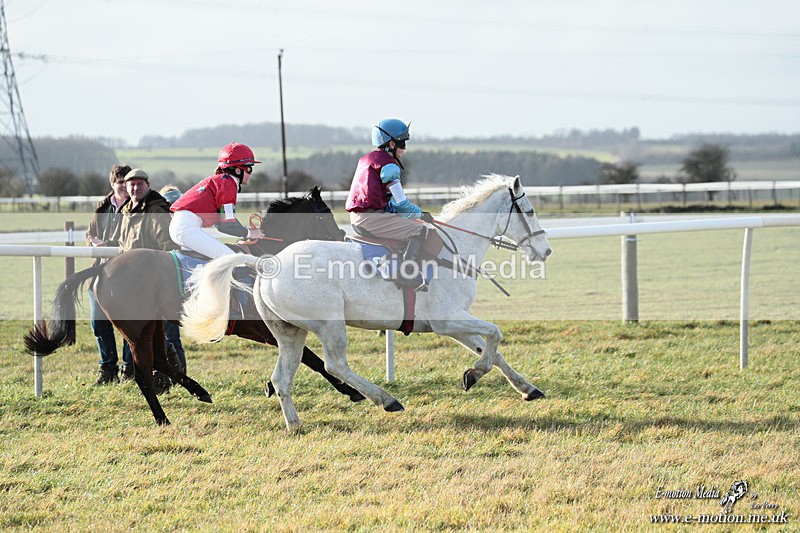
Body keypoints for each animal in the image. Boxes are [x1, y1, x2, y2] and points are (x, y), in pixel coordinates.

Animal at [24, 187, 364, 426]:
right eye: (324, 214)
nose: (343, 238)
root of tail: (105, 267)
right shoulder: (268, 331)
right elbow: (314, 361)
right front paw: (353, 391)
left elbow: (308, 360)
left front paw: (271, 385)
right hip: (136, 329)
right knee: (144, 372)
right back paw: (162, 418)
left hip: (154, 322)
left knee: (162, 360)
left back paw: (199, 391)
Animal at [181, 174, 553, 431]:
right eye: (530, 210)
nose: (545, 250)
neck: (454, 251)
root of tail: (266, 263)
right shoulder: (448, 319)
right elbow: (495, 334)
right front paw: (474, 374)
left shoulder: (452, 323)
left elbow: (492, 349)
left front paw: (525, 388)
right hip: (329, 324)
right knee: (335, 365)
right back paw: (385, 399)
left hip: (289, 333)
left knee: (282, 378)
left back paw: (296, 425)